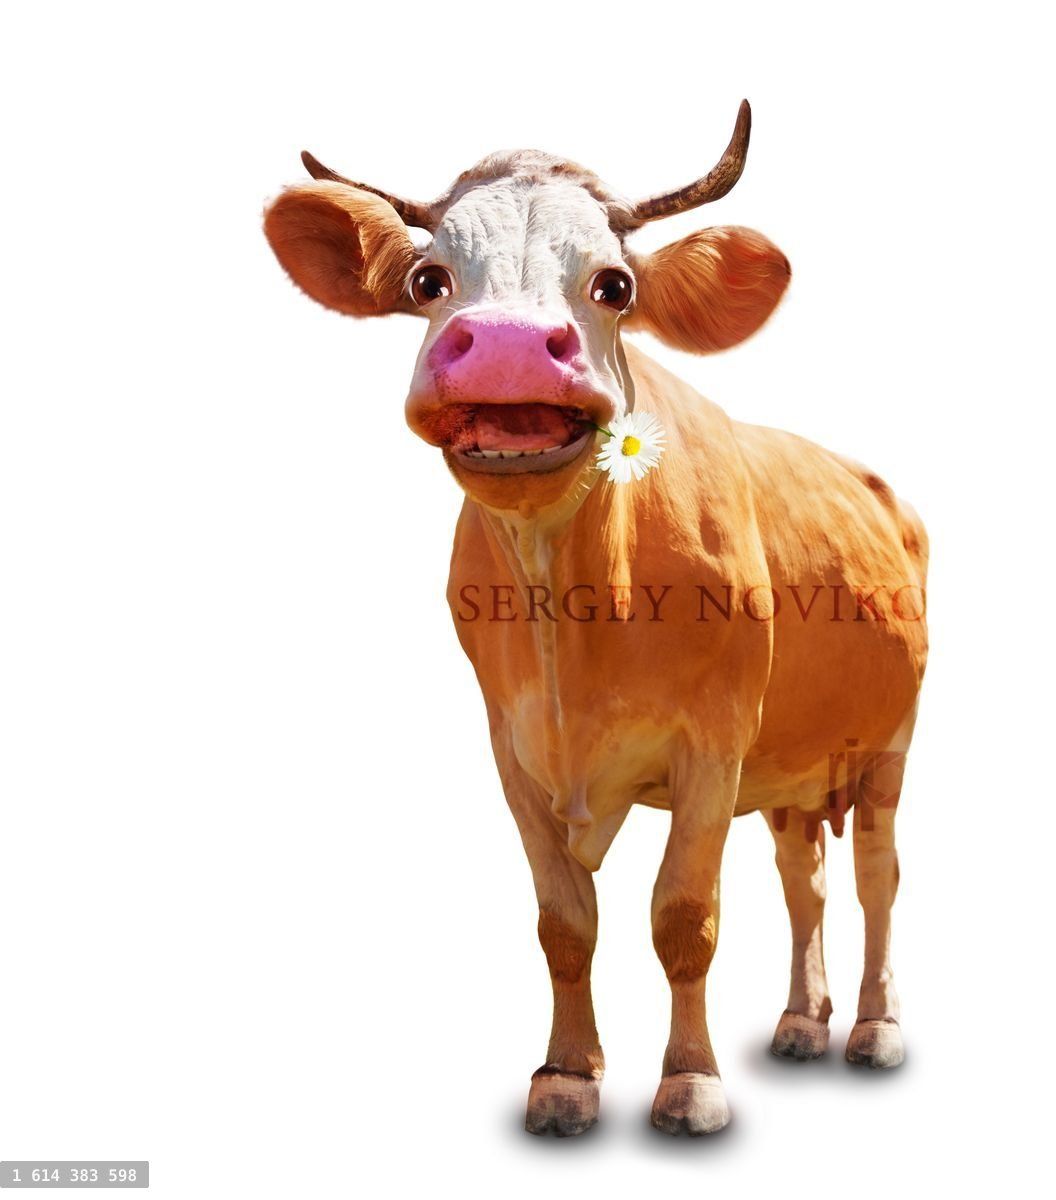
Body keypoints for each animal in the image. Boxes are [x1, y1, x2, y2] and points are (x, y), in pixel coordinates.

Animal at [263, 101, 928, 1137]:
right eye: (428, 280)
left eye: (615, 285)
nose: (505, 346)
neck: (573, 614)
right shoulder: (513, 748)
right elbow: (564, 923)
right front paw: (567, 1076)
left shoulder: (714, 744)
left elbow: (684, 917)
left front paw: (690, 1082)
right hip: (791, 766)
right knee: (804, 880)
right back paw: (800, 1022)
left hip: (889, 742)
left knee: (876, 877)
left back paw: (874, 1027)